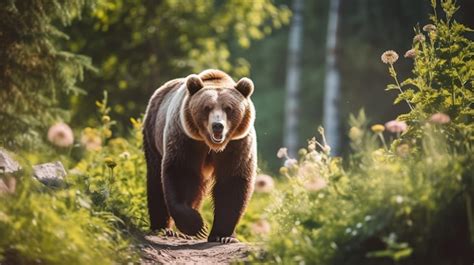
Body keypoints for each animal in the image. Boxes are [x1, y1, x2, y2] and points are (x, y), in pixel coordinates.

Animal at [143, 69, 258, 242]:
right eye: (207, 107)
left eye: (229, 108)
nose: (217, 126)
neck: (211, 145)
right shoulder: (185, 139)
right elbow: (181, 173)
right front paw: (198, 226)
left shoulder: (237, 144)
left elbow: (232, 181)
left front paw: (222, 235)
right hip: (153, 131)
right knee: (156, 179)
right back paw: (163, 228)